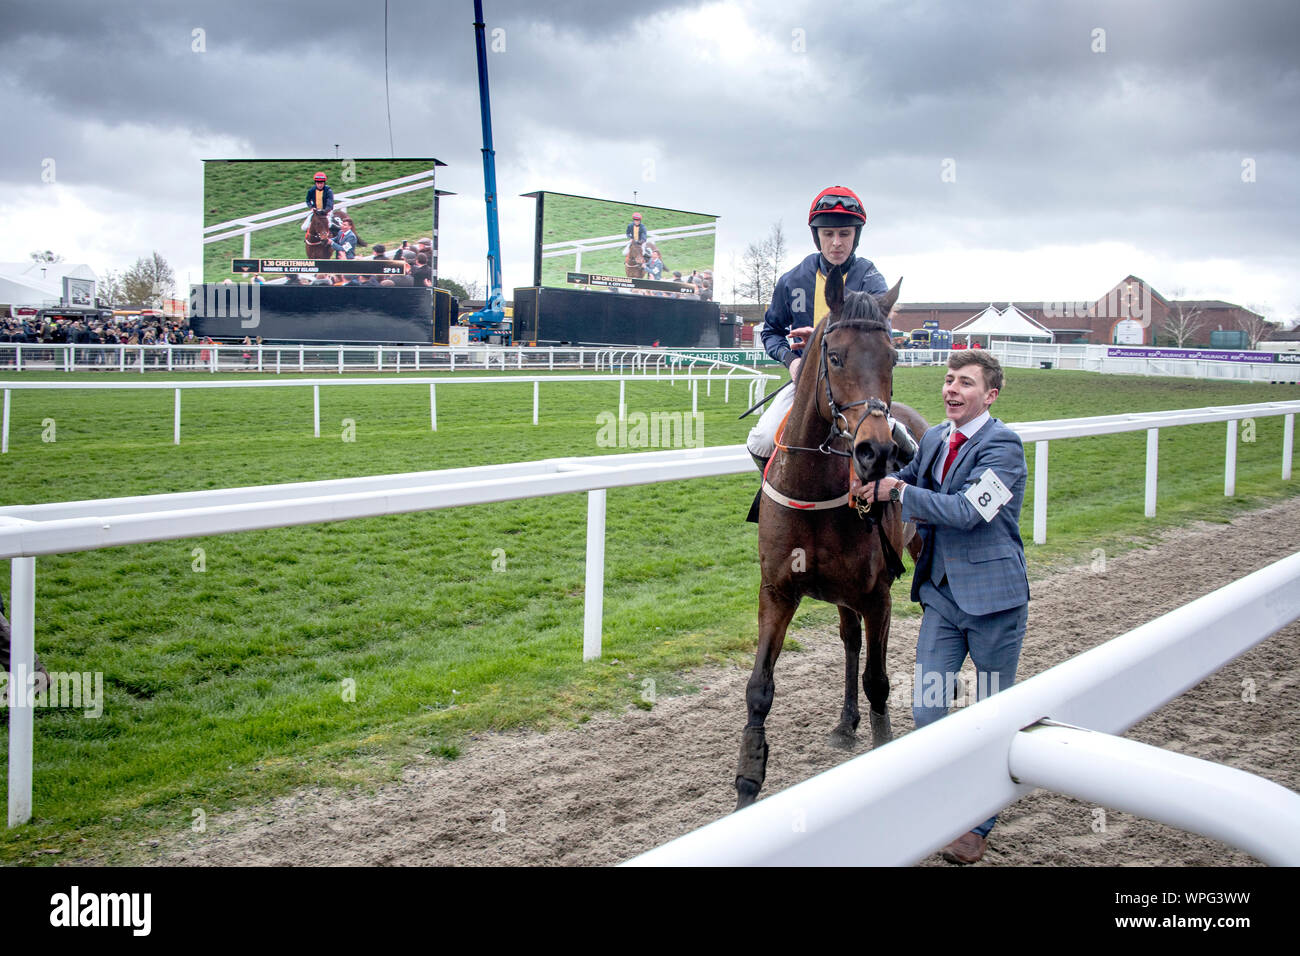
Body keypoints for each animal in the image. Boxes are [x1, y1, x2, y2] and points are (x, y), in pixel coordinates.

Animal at [738, 267, 930, 806]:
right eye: (836, 355)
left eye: (892, 357)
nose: (877, 452)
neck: (817, 488)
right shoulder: (777, 591)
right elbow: (759, 688)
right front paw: (747, 784)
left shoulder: (878, 594)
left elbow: (879, 681)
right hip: (843, 595)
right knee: (849, 640)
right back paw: (846, 724)